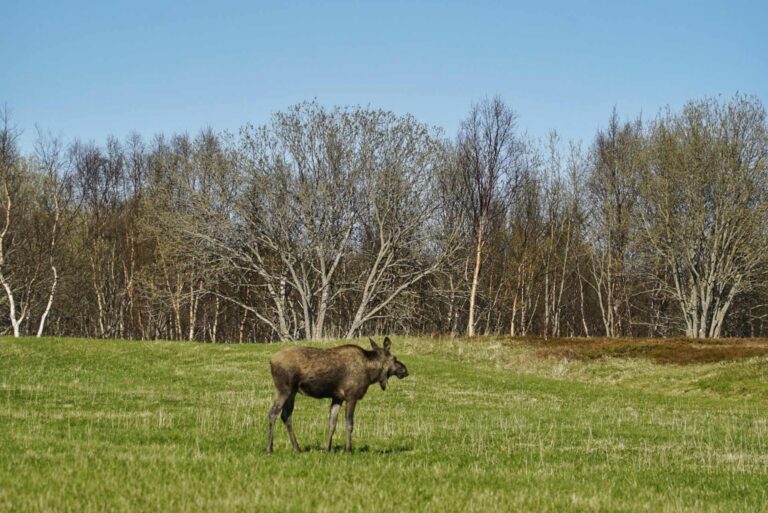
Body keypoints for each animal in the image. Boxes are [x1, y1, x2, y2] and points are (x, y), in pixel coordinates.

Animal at [267, 337, 409, 453]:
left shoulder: (337, 397)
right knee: (273, 412)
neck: (371, 373)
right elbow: (349, 423)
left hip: (292, 392)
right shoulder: (351, 396)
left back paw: (297, 448)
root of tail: (271, 361)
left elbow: (332, 423)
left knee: (286, 415)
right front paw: (348, 449)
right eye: (394, 358)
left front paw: (327, 449)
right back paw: (270, 448)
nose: (405, 370)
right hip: (284, 389)